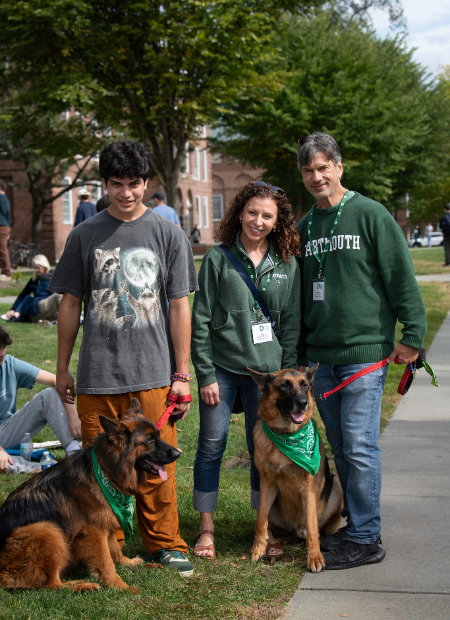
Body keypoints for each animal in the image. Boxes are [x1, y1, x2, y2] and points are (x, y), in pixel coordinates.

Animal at [0, 400, 179, 592]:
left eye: (158, 436)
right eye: (150, 440)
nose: (178, 453)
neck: (105, 472)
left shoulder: (107, 522)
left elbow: (114, 550)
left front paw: (128, 563)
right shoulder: (94, 532)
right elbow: (106, 562)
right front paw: (121, 586)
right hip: (47, 529)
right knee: (52, 584)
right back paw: (83, 585)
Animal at [250, 366, 342, 572]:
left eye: (304, 385)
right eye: (284, 385)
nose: (303, 403)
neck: (287, 435)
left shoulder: (309, 489)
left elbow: (312, 527)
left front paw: (315, 558)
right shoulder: (267, 484)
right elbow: (260, 520)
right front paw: (258, 549)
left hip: (337, 486)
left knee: (316, 530)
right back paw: (287, 538)